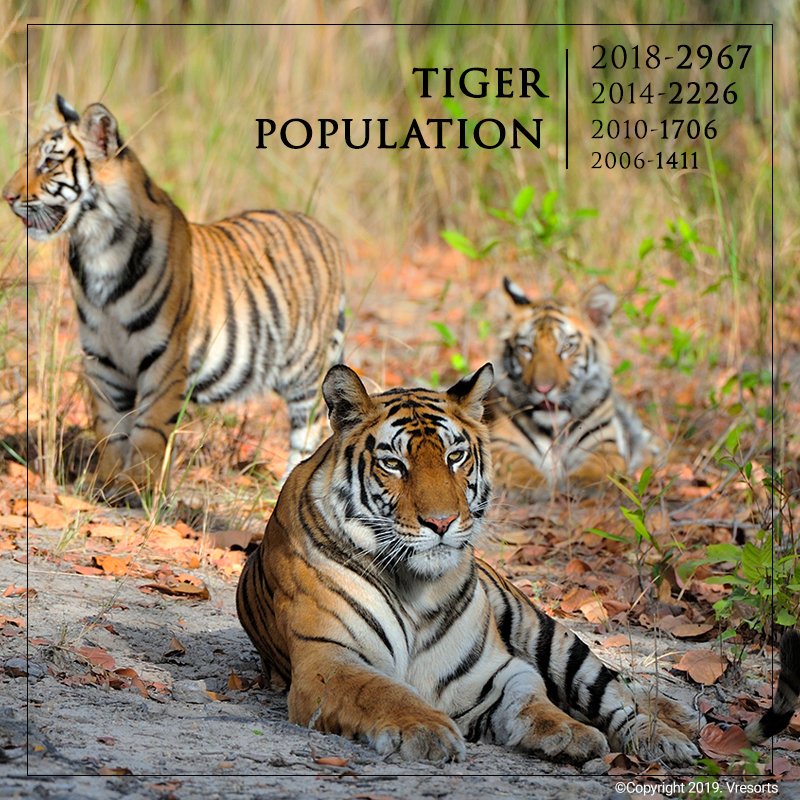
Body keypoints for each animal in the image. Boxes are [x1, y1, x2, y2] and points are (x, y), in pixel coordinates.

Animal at [2, 95, 345, 497]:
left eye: (50, 163)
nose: (7, 196)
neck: (95, 250)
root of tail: (324, 231)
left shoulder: (165, 355)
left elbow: (149, 425)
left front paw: (137, 484)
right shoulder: (102, 358)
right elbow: (109, 426)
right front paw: (106, 480)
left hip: (305, 371)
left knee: (309, 430)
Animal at [232, 363, 799, 765]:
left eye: (455, 456)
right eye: (393, 463)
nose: (441, 522)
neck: (415, 586)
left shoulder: (497, 669)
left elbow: (535, 700)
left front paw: (568, 732)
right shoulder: (329, 660)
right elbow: (385, 692)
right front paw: (428, 730)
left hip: (551, 635)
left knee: (618, 693)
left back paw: (667, 733)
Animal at [485, 277, 656, 500]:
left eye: (566, 347)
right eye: (526, 349)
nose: (543, 388)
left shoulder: (604, 442)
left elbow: (599, 463)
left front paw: (581, 482)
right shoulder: (500, 443)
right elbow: (512, 462)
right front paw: (532, 484)